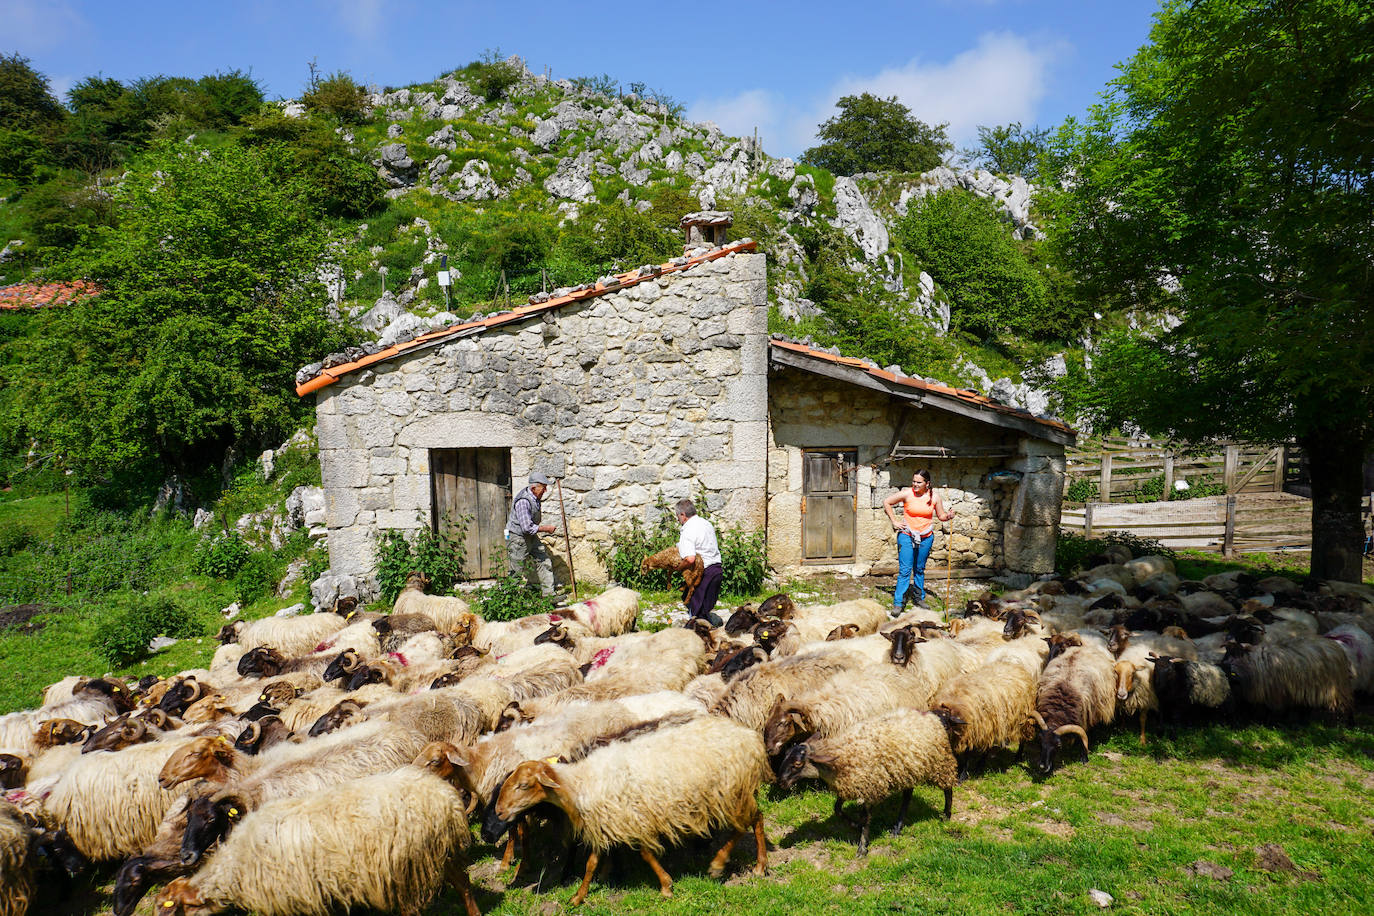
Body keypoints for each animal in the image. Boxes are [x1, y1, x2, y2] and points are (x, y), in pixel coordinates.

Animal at [155, 746, 479, 916]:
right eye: (187, 819)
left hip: (406, 865)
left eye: (212, 819)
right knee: (464, 884)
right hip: (441, 851)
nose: (185, 856)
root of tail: (445, 796)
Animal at [494, 714, 770, 905]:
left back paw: (723, 864)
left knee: (745, 824)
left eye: (523, 785)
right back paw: (759, 865)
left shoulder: (632, 819)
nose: (498, 812)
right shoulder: (607, 822)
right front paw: (579, 896)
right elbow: (592, 864)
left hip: (732, 791)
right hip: (734, 793)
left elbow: (645, 854)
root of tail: (748, 736)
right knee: (757, 818)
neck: (579, 783)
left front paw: (666, 886)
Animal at [775, 708, 957, 855]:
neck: (840, 757)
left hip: (940, 763)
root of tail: (931, 716)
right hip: (908, 769)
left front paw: (862, 847)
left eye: (797, 763)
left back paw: (946, 815)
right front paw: (854, 825)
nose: (781, 783)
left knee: (948, 788)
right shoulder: (848, 785)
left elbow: (866, 818)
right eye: (785, 756)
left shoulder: (869, 787)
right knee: (907, 796)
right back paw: (897, 828)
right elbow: (837, 809)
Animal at [1033, 642, 1117, 775]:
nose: (1042, 766)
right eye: (1040, 741)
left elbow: (1083, 738)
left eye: (1059, 745)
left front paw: (1084, 758)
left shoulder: (1084, 717)